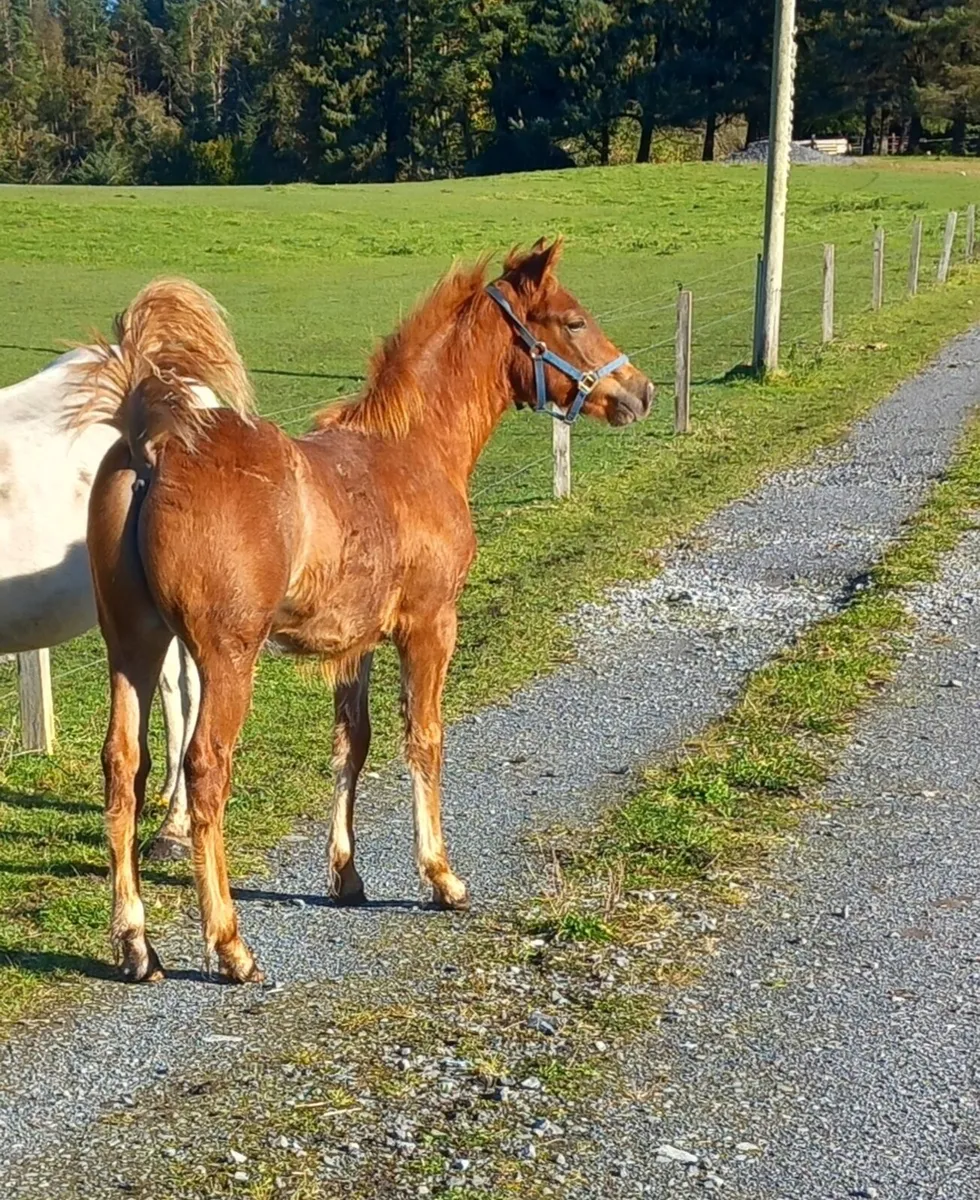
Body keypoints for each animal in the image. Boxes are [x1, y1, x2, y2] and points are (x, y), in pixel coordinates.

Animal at [73, 238, 654, 985]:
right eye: (573, 320)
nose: (638, 391)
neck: (414, 452)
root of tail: (156, 445)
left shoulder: (357, 641)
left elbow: (353, 742)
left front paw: (346, 877)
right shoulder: (431, 625)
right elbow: (425, 738)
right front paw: (442, 877)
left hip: (133, 645)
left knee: (124, 767)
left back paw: (136, 943)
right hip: (225, 656)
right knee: (205, 770)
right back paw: (229, 944)